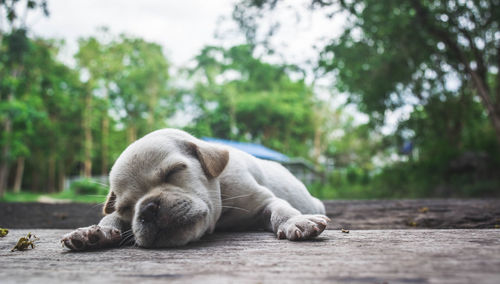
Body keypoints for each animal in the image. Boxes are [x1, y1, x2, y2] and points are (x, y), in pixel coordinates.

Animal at [61, 129, 328, 251]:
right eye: (127, 207)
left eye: (173, 172)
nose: (147, 209)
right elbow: (111, 217)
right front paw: (93, 231)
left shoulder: (264, 200)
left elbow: (281, 209)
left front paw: (295, 221)